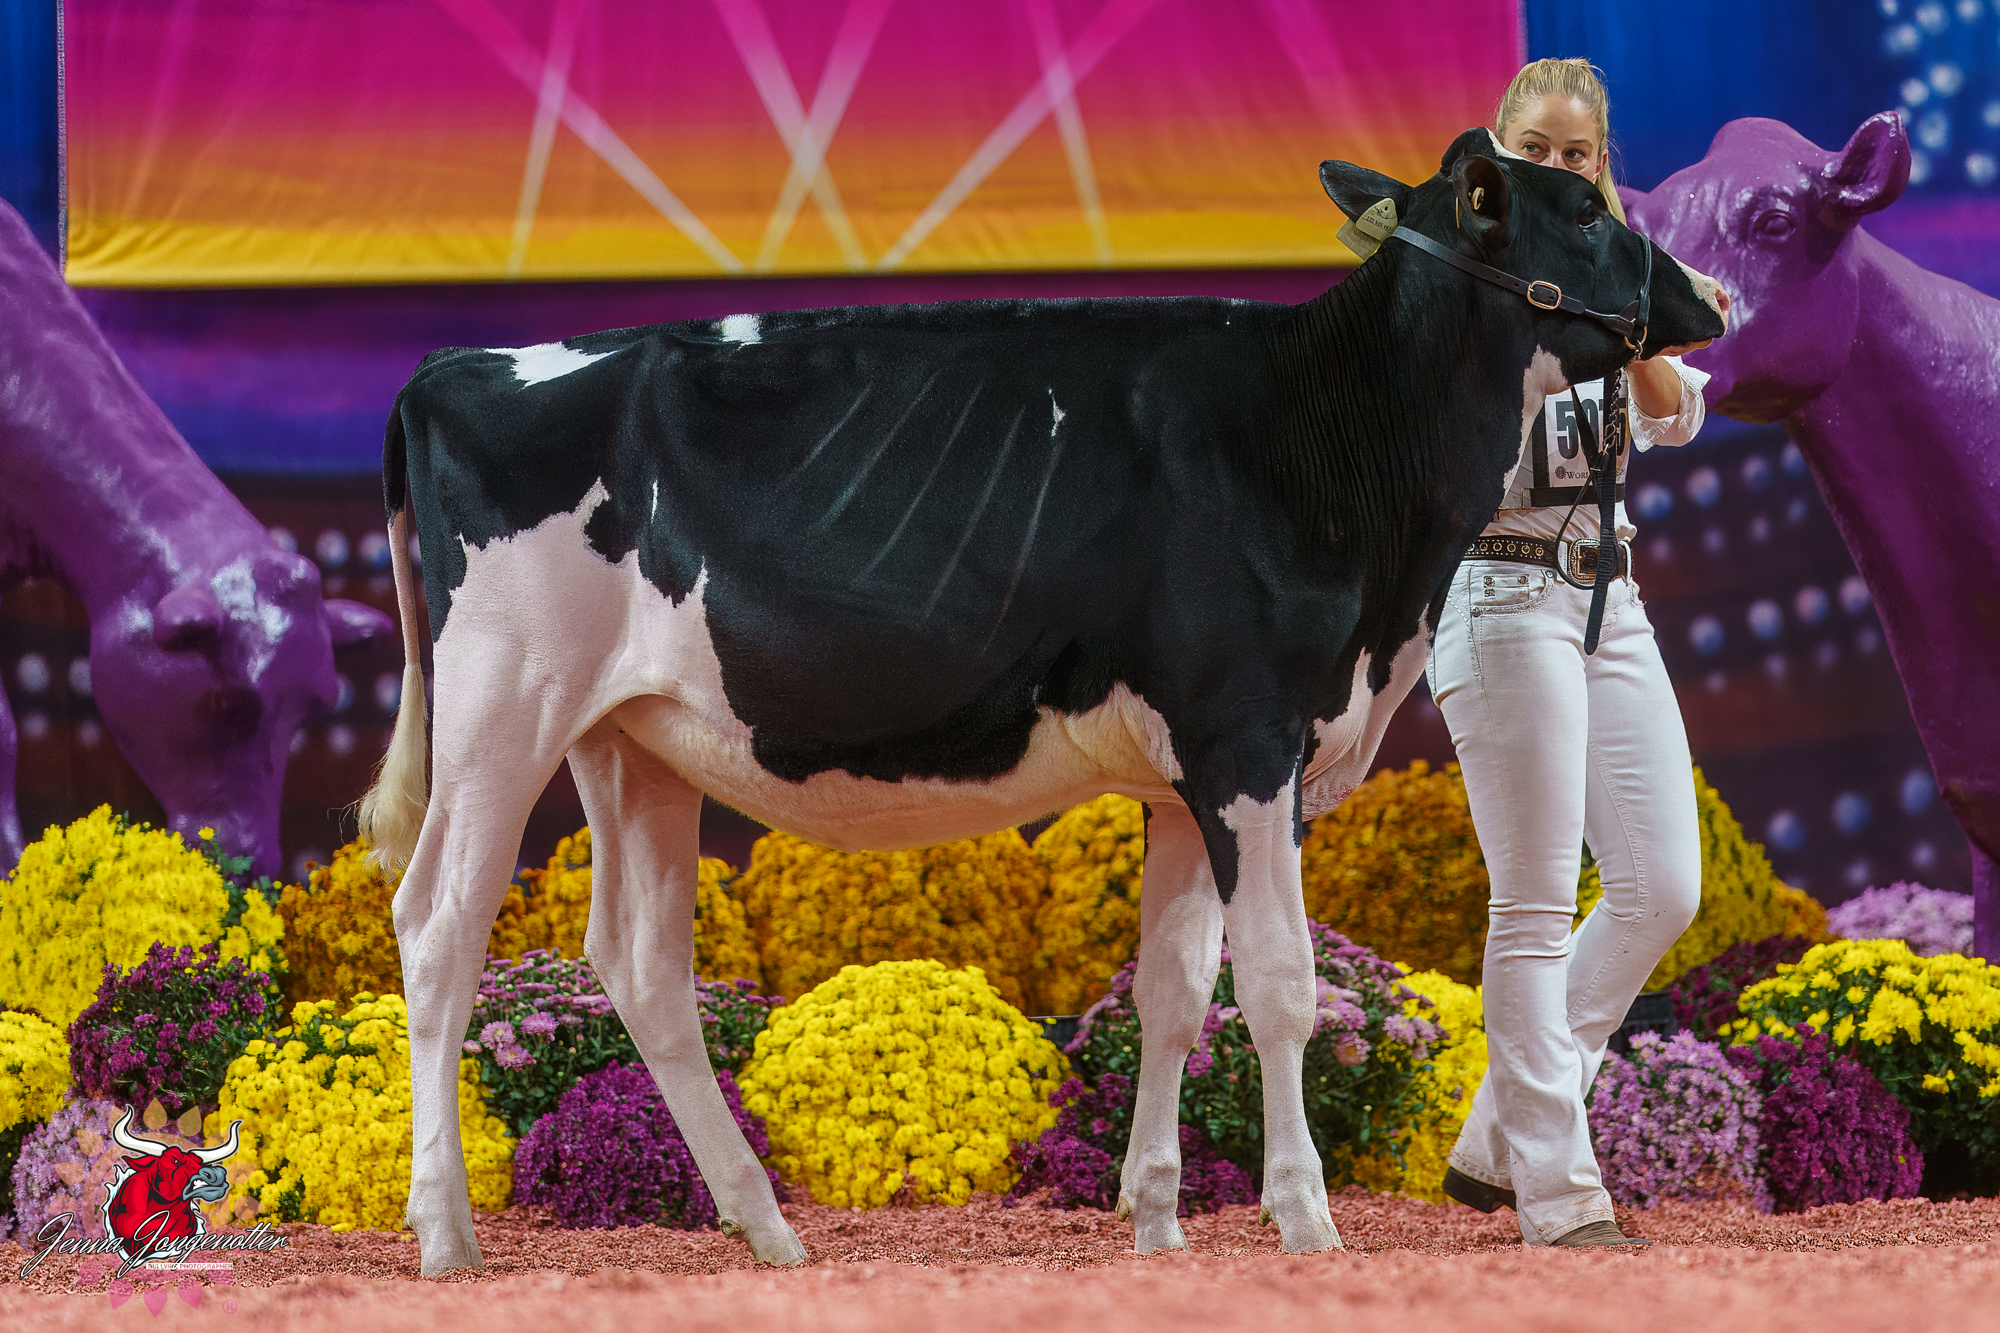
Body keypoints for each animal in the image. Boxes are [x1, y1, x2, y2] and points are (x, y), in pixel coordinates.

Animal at [362, 128, 1726, 1275]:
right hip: (501, 705)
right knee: (437, 925)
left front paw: (1157, 1218)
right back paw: (445, 1233)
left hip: (625, 737)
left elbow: (1172, 991)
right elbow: (1278, 984)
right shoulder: (1247, 734)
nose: (1708, 296)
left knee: (640, 964)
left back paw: (765, 1227)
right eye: (1586, 211)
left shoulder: (1184, 774)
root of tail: (456, 363)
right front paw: (1302, 1216)